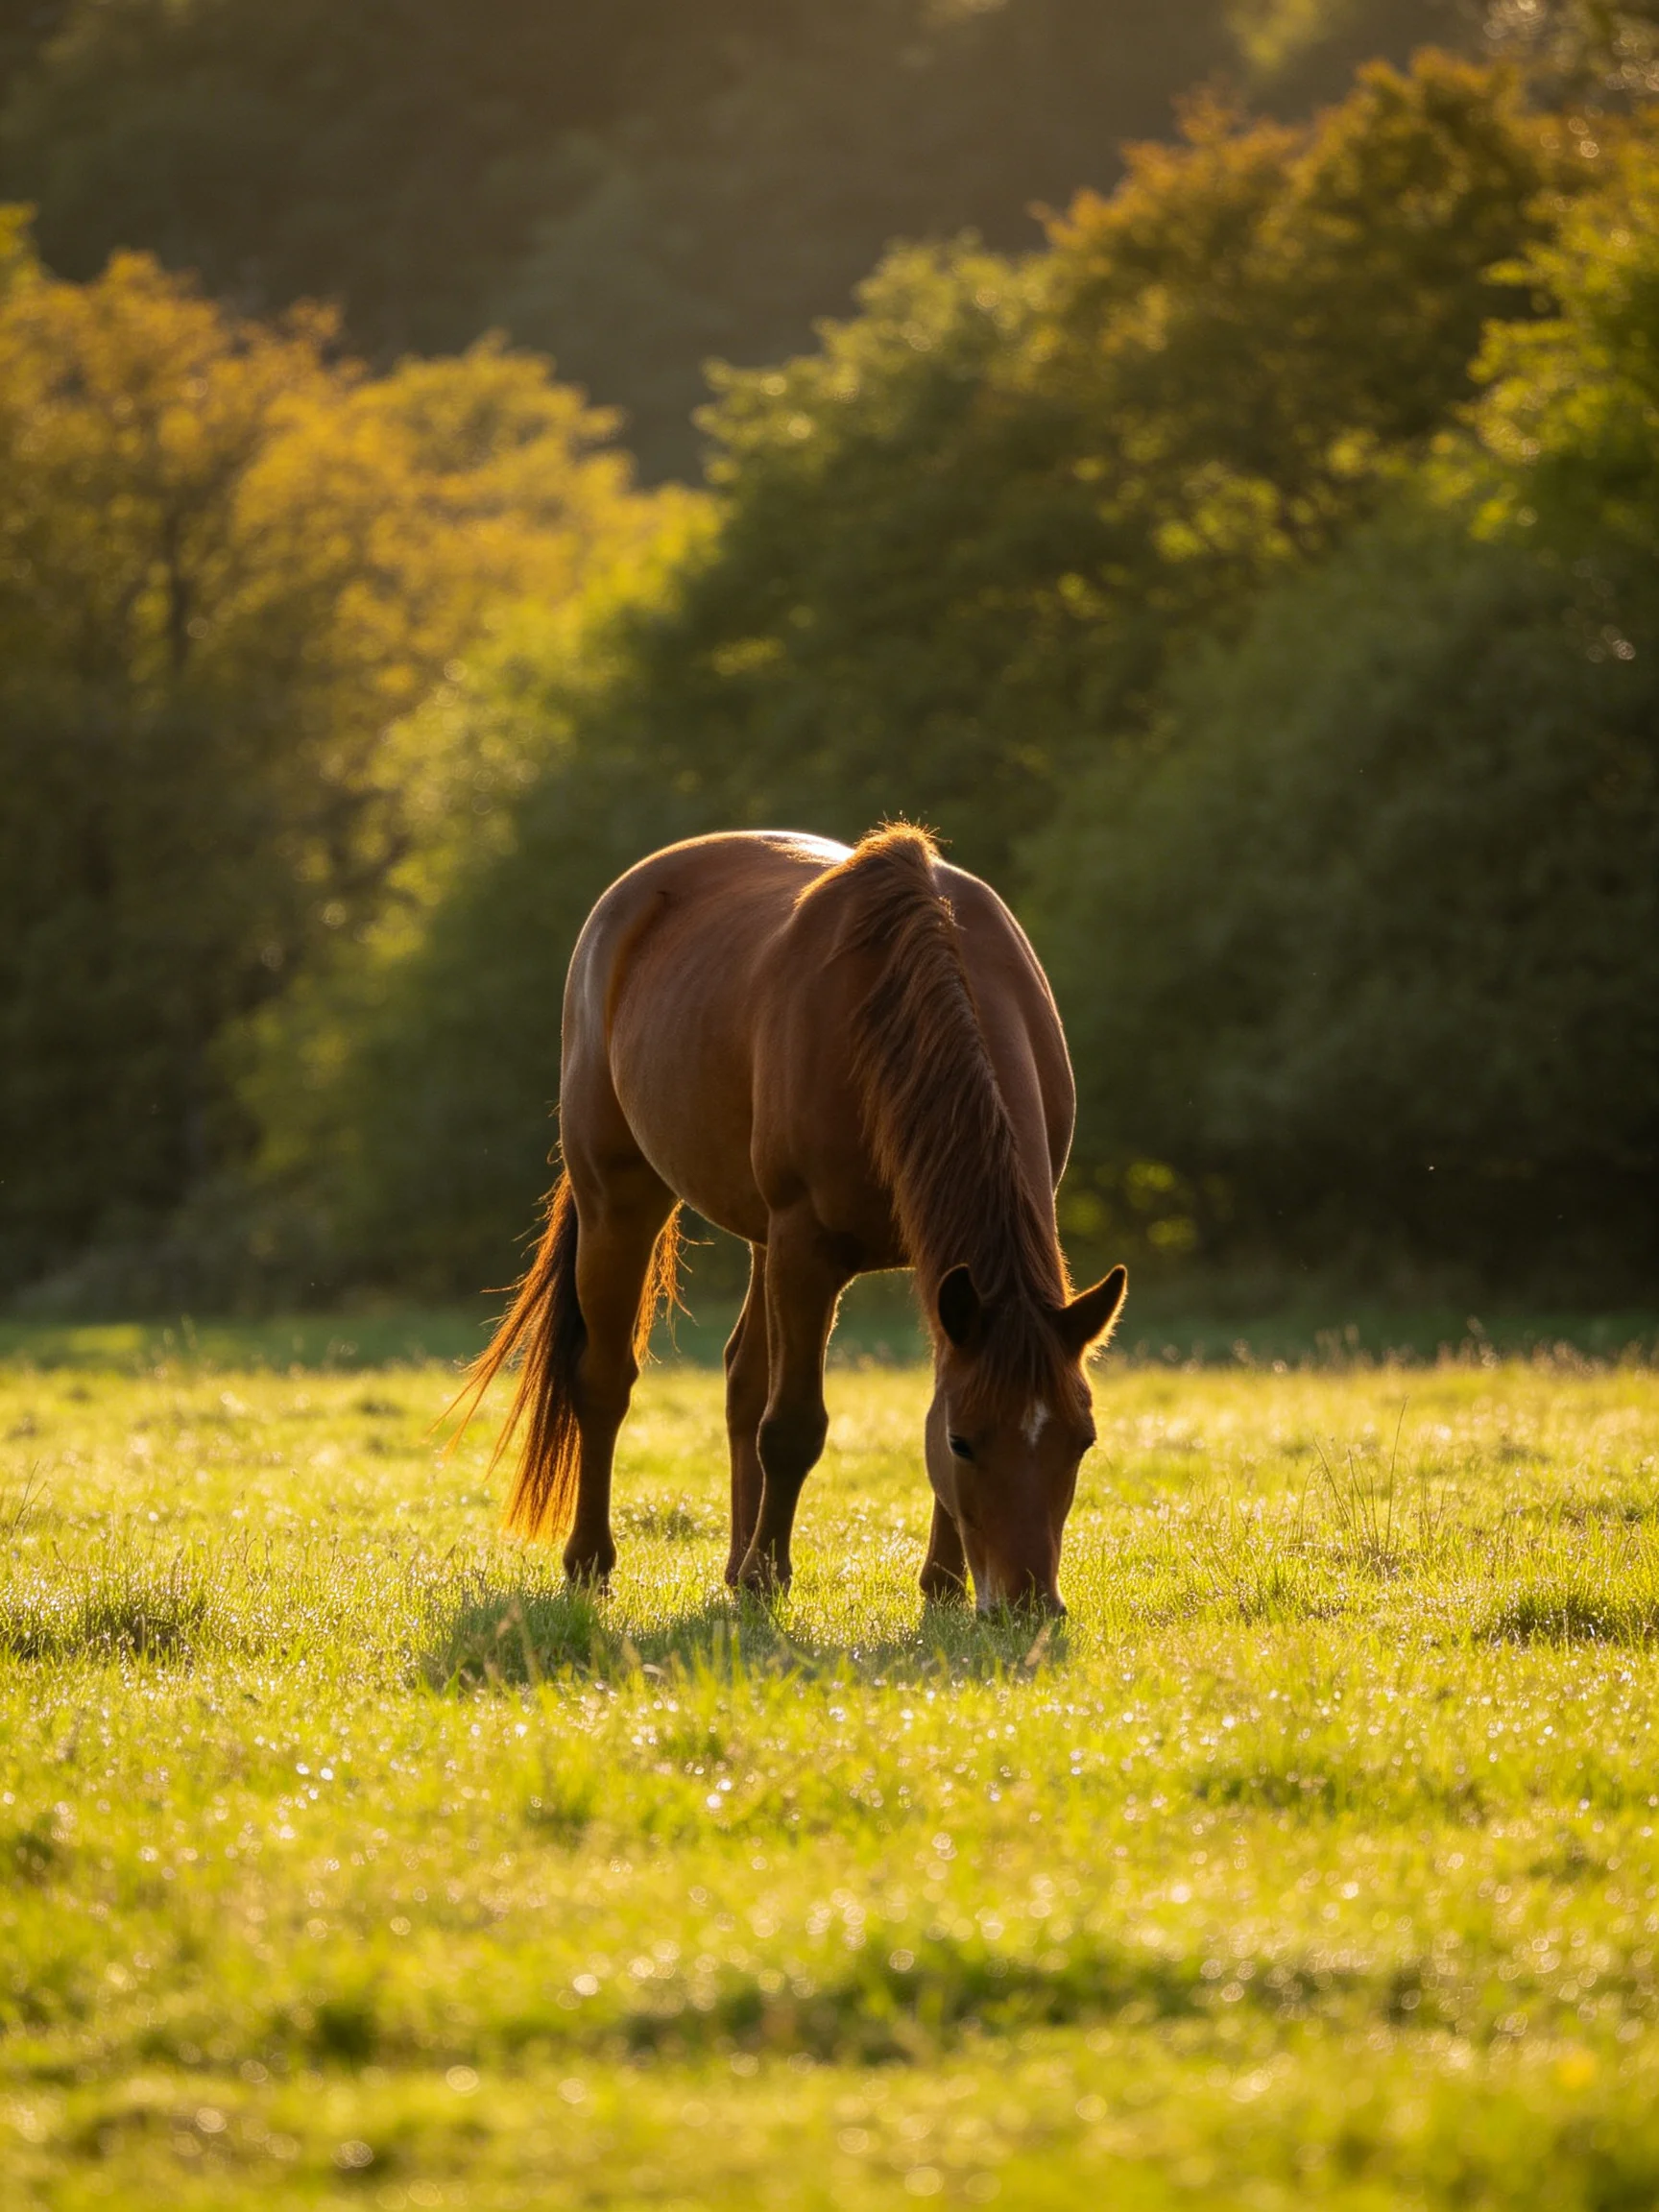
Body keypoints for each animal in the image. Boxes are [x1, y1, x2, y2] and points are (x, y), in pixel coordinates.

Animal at [458, 823, 1126, 1614]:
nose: (1028, 1606)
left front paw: (939, 1586)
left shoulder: (940, 1279)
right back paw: (596, 1562)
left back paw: (735, 1563)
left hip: (759, 1237)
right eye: (965, 1443)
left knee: (742, 1379)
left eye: (1082, 1441)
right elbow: (793, 1428)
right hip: (620, 1201)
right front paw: (769, 1577)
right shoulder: (808, 1248)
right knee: (605, 1380)